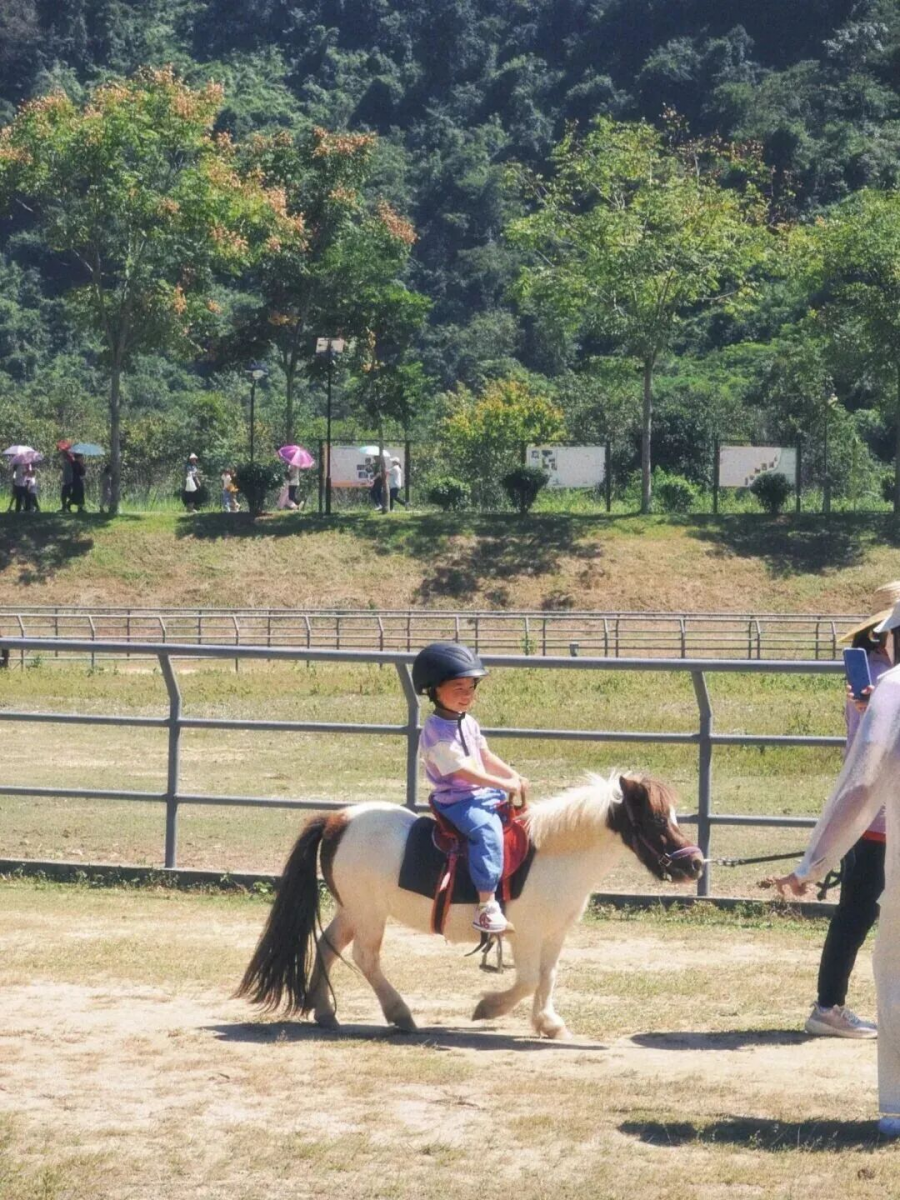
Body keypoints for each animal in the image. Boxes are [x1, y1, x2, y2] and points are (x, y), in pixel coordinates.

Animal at [237, 772, 704, 1039]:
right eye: (657, 820)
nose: (695, 864)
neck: (555, 854)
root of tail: (336, 819)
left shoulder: (555, 933)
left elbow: (548, 978)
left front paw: (548, 1023)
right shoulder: (526, 934)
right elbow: (528, 980)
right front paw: (487, 1008)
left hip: (352, 910)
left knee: (328, 946)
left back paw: (325, 1011)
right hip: (369, 914)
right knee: (366, 958)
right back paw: (400, 1014)